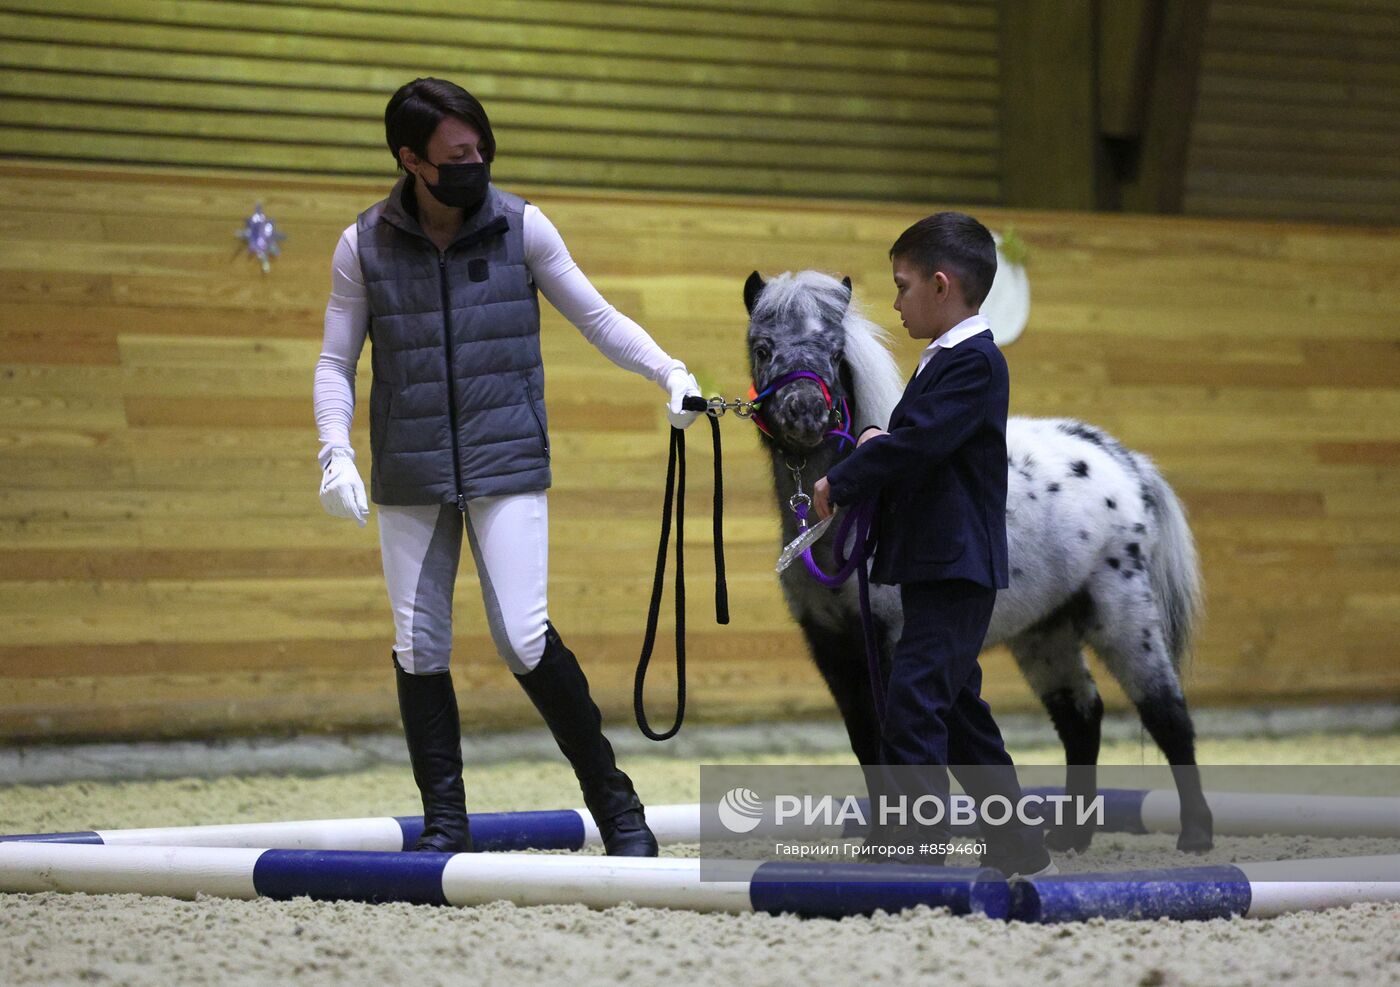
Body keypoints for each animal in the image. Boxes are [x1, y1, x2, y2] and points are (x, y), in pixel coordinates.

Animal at [744, 268, 1215, 856]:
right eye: (763, 348)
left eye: (835, 351)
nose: (805, 412)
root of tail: (1123, 461)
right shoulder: (834, 650)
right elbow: (866, 744)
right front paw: (877, 839)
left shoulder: (893, 643)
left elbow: (896, 739)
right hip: (1044, 634)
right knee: (1081, 716)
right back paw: (1070, 836)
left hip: (1125, 618)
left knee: (1167, 712)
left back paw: (1195, 834)